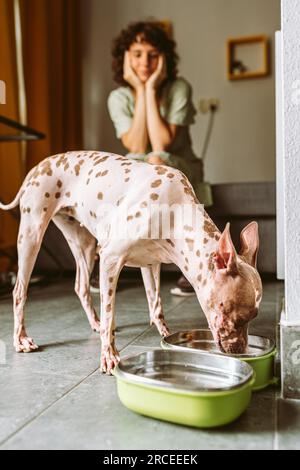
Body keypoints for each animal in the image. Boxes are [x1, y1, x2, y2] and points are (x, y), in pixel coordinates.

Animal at [0, 152, 262, 372]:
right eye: (237, 317)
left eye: (252, 319)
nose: (240, 351)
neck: (175, 209)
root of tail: (39, 165)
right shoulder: (110, 259)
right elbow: (110, 315)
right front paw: (109, 355)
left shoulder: (150, 264)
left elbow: (156, 303)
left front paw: (165, 333)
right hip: (32, 237)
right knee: (19, 291)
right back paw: (20, 339)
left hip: (84, 244)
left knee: (81, 286)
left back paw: (94, 322)